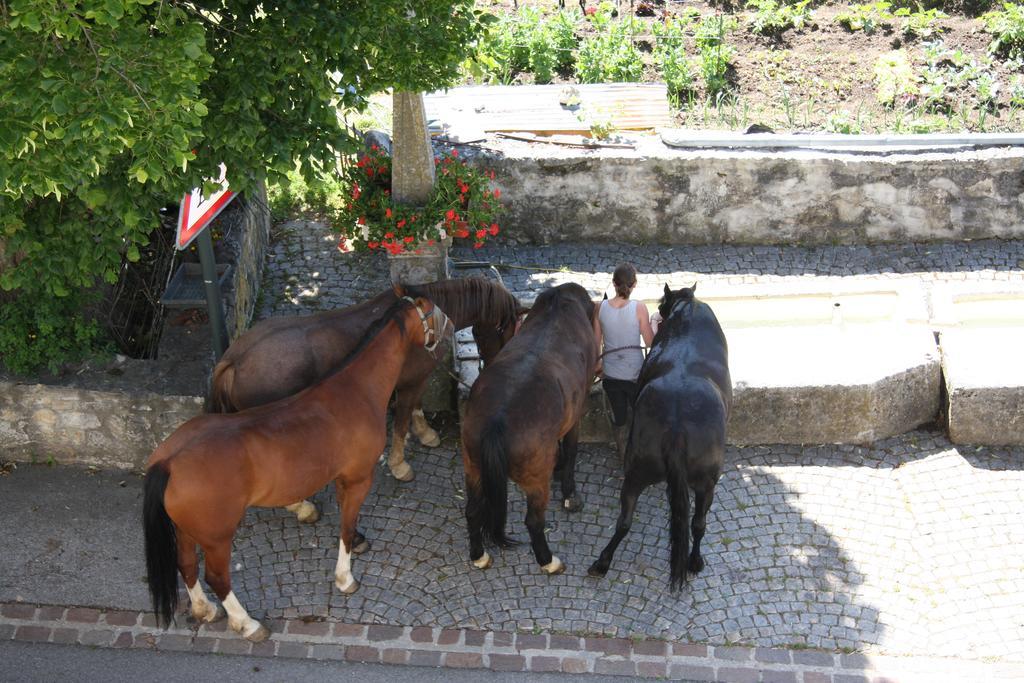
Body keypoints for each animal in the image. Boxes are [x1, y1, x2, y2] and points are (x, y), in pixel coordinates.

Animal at [144, 292, 452, 643]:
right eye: (433, 311)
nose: (449, 332)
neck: (356, 388)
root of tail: (168, 460)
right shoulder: (359, 477)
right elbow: (346, 527)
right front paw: (345, 578)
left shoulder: (341, 477)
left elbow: (346, 518)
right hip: (217, 538)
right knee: (217, 577)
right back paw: (247, 624)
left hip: (185, 530)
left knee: (185, 564)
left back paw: (205, 610)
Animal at [209, 274, 528, 489]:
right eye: (509, 329)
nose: (497, 365)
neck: (427, 319)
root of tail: (234, 360)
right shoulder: (409, 383)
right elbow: (401, 422)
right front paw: (399, 464)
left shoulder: (416, 378)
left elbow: (416, 407)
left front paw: (425, 434)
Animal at [460, 282, 598, 577]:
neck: (558, 306)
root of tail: (497, 422)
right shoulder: (577, 413)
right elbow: (571, 450)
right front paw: (569, 492)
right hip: (535, 481)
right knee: (534, 521)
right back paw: (548, 560)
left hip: (473, 466)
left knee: (473, 510)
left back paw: (479, 555)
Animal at [589, 282, 733, 589]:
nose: (658, 313)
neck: (686, 312)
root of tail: (677, 427)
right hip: (702, 482)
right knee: (695, 524)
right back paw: (693, 561)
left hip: (643, 473)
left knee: (630, 521)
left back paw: (604, 562)